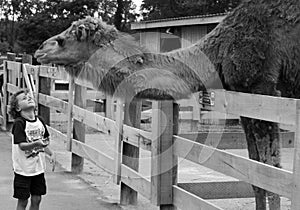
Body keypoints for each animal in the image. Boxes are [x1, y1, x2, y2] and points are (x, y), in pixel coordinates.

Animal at [34, 0, 300, 209]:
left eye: (62, 40)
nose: (39, 50)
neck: (218, 51)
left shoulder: (262, 91)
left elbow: (271, 176)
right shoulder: (245, 98)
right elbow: (257, 179)